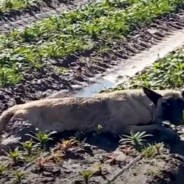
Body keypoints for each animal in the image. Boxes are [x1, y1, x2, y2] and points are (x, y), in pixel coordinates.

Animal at [0, 87, 183, 142]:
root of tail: (16, 107)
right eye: (166, 104)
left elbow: (157, 124)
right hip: (26, 134)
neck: (147, 104)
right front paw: (170, 131)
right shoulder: (118, 128)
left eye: (182, 103)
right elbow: (156, 126)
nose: (179, 120)